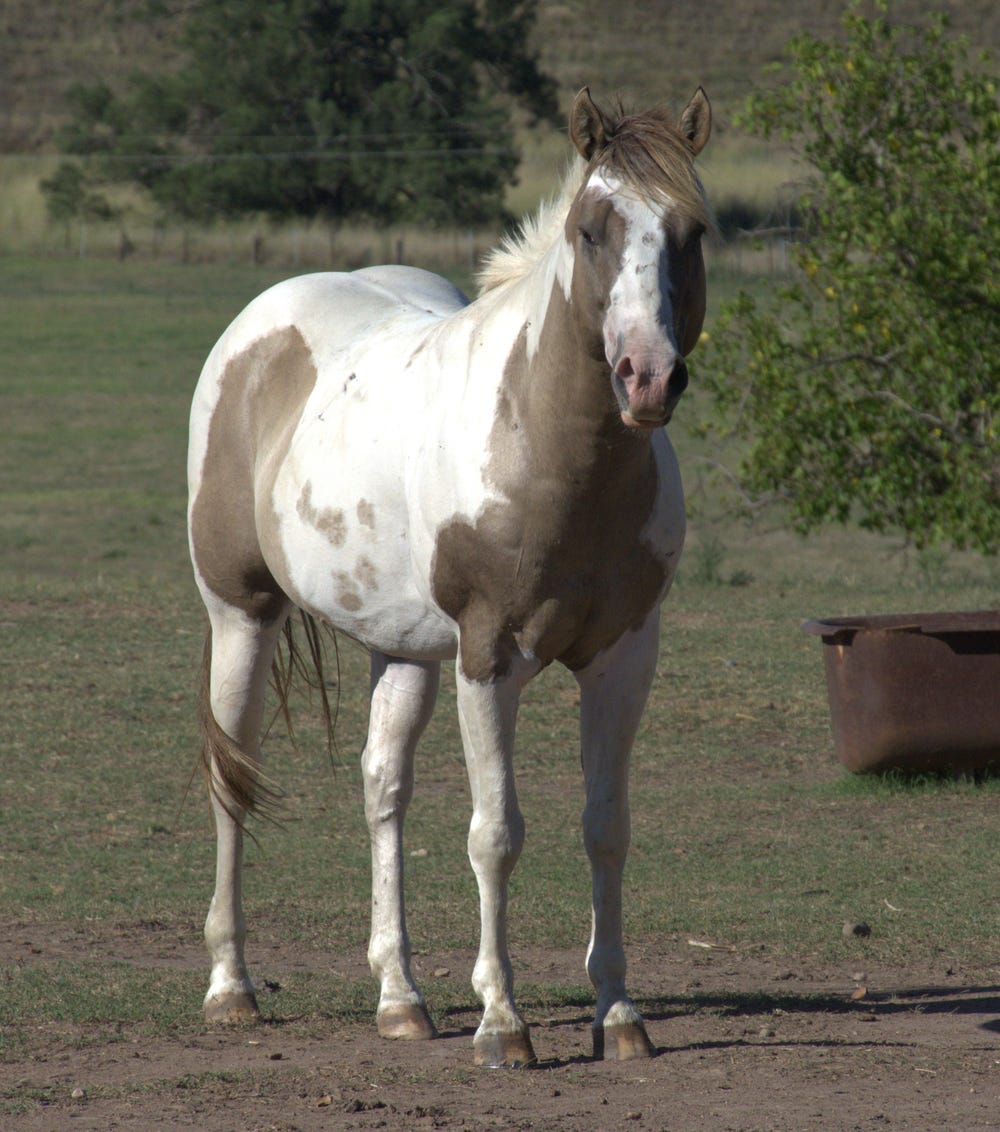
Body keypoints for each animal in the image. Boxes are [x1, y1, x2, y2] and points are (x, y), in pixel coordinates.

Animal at [187, 86, 712, 1067]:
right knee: (232, 778)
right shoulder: (488, 656)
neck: (551, 453)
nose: (647, 377)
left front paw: (618, 1012)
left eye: (692, 231)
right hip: (241, 616)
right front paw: (504, 1023)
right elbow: (495, 834)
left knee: (382, 790)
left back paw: (401, 998)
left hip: (401, 652)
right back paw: (230, 987)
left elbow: (607, 829)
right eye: (591, 229)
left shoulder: (624, 658)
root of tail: (255, 331)